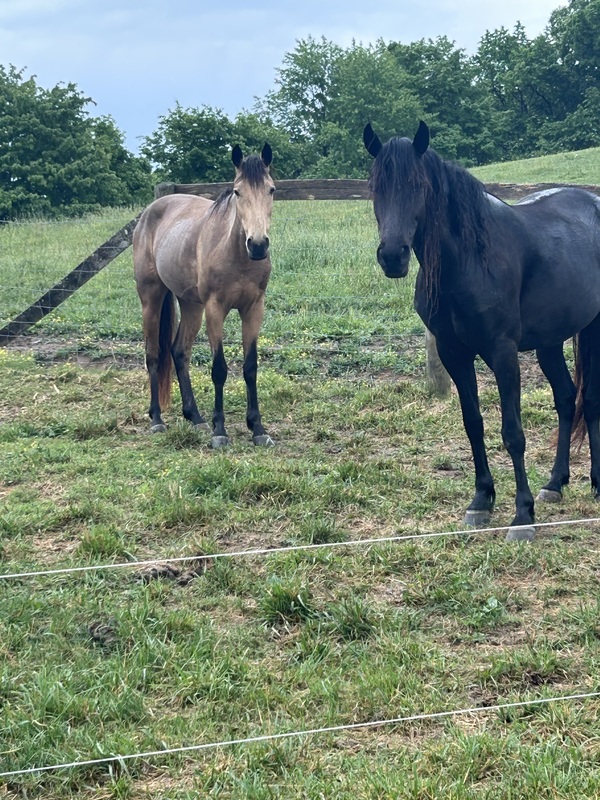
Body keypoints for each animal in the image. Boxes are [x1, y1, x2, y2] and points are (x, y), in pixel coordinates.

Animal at [133, 143, 275, 448]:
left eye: (271, 190)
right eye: (237, 191)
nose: (258, 245)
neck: (235, 254)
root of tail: (149, 213)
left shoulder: (253, 309)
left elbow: (250, 367)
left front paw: (257, 429)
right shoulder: (215, 309)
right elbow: (219, 368)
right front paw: (220, 430)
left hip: (190, 305)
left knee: (179, 351)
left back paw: (195, 417)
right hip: (151, 298)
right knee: (153, 354)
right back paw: (157, 419)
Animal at [363, 121, 600, 541]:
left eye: (418, 186)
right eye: (376, 187)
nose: (392, 256)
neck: (470, 260)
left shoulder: (502, 353)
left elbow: (513, 433)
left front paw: (522, 516)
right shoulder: (453, 353)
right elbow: (473, 424)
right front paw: (481, 501)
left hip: (593, 328)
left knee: (589, 401)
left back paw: (596, 484)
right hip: (550, 342)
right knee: (566, 398)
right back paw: (555, 483)